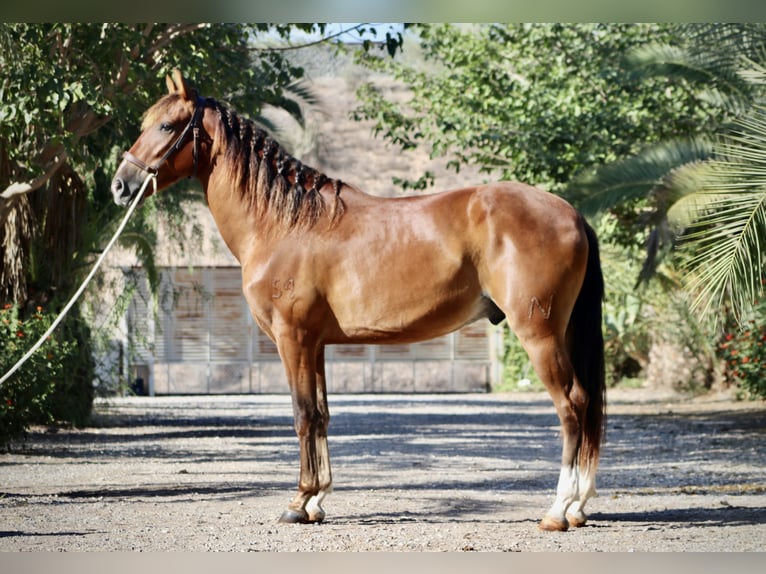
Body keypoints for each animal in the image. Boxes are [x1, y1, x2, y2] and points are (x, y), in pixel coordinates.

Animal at [111, 71, 608, 536]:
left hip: (539, 334)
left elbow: (302, 415)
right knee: (585, 404)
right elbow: (322, 415)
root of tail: (571, 212)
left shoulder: (292, 340)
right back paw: (579, 507)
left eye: (167, 125)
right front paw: (317, 501)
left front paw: (298, 503)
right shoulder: (315, 345)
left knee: (571, 405)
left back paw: (559, 510)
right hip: (561, 332)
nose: (121, 184)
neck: (284, 223)